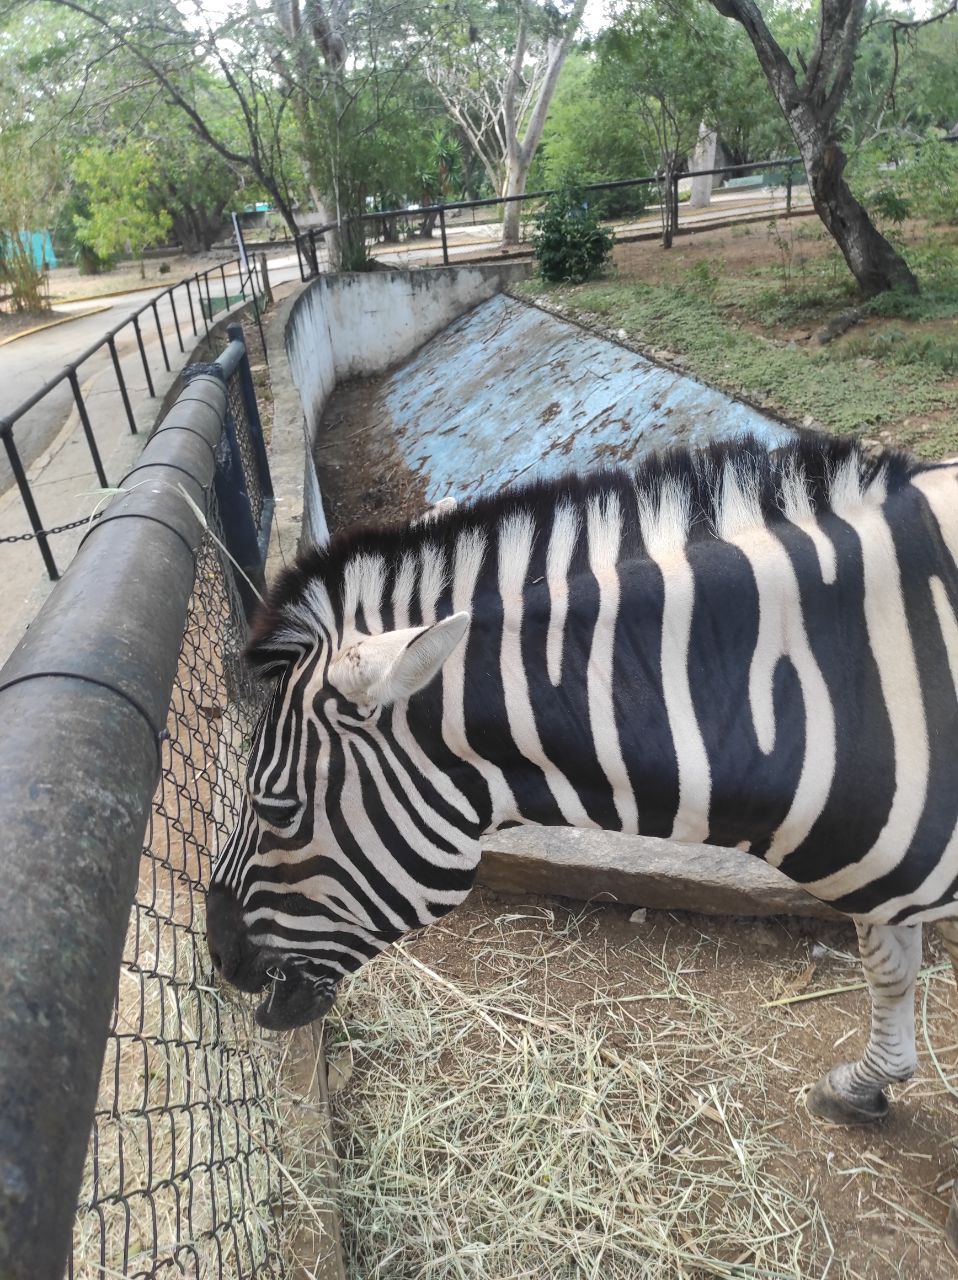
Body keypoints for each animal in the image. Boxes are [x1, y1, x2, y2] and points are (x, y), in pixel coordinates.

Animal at [207, 435, 957, 1244]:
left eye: (277, 806)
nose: (214, 951)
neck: (840, 693)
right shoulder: (886, 882)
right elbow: (889, 969)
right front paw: (865, 1087)